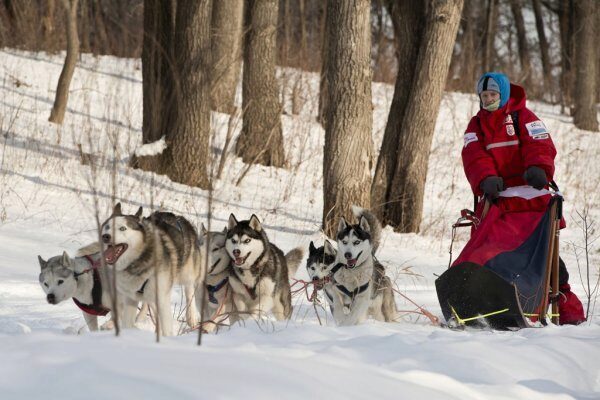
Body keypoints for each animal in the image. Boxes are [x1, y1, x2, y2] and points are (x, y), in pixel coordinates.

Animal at [101, 203, 204, 338]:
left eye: (122, 228)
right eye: (107, 227)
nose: (105, 236)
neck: (138, 260)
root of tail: (178, 217)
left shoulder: (162, 298)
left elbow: (166, 327)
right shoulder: (130, 299)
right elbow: (127, 322)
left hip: (186, 272)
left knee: (189, 288)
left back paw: (191, 316)